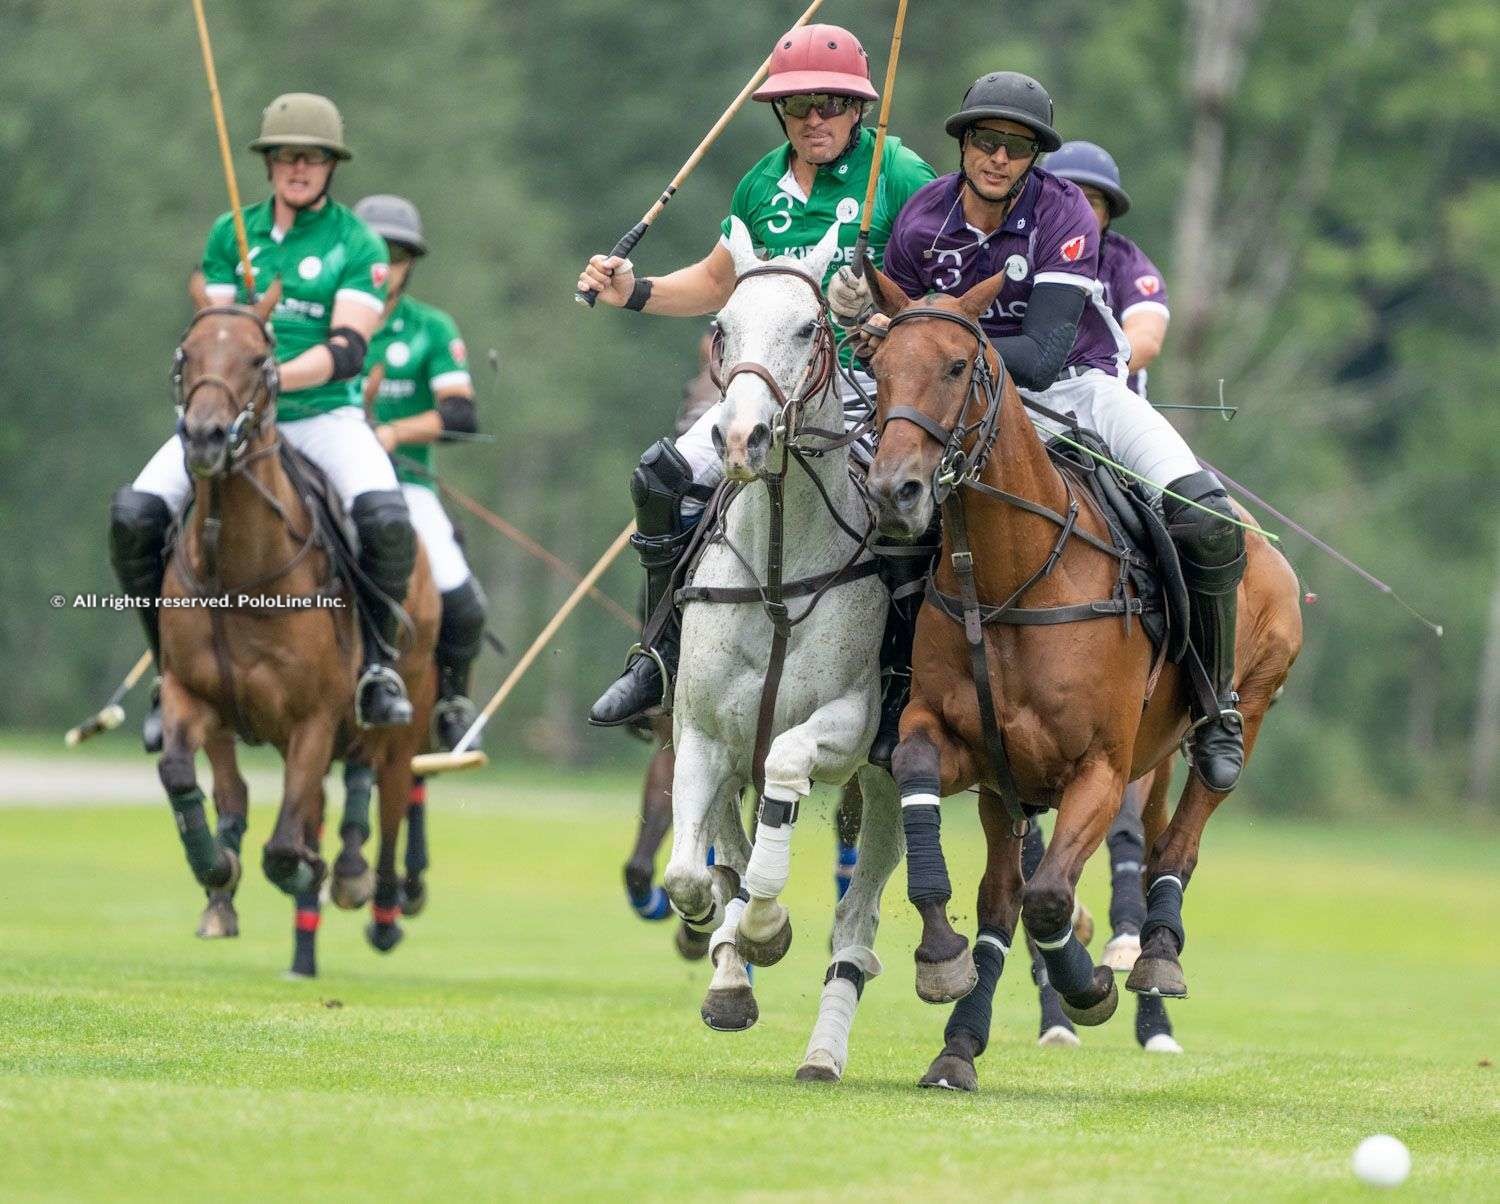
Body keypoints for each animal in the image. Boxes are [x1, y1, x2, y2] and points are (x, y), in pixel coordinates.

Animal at [159, 280, 438, 959]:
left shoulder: (314, 715)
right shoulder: (193, 693)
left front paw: (308, 872)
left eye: (260, 359)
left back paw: (378, 898)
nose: (204, 438)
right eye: (186, 353)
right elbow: (182, 773)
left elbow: (286, 846)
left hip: (408, 708)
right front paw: (217, 870)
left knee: (391, 794)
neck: (235, 576)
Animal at [660, 215, 900, 1085]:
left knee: (858, 920)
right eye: (722, 326)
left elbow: (787, 770)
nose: (740, 437)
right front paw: (725, 939)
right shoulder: (699, 731)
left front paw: (766, 924)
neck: (775, 574)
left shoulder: (850, 724)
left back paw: (825, 1047)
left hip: (889, 777)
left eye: (807, 328)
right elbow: (689, 869)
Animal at [864, 265, 1308, 1091]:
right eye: (876, 368)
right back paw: (960, 1043)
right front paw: (941, 956)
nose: (893, 491)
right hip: (1068, 776)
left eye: (956, 366)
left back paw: (1156, 954)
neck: (1009, 581)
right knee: (1009, 895)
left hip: (1248, 702)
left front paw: (1089, 986)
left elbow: (1049, 899)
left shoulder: (1098, 768)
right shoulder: (970, 752)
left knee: (1184, 834)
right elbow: (934, 800)